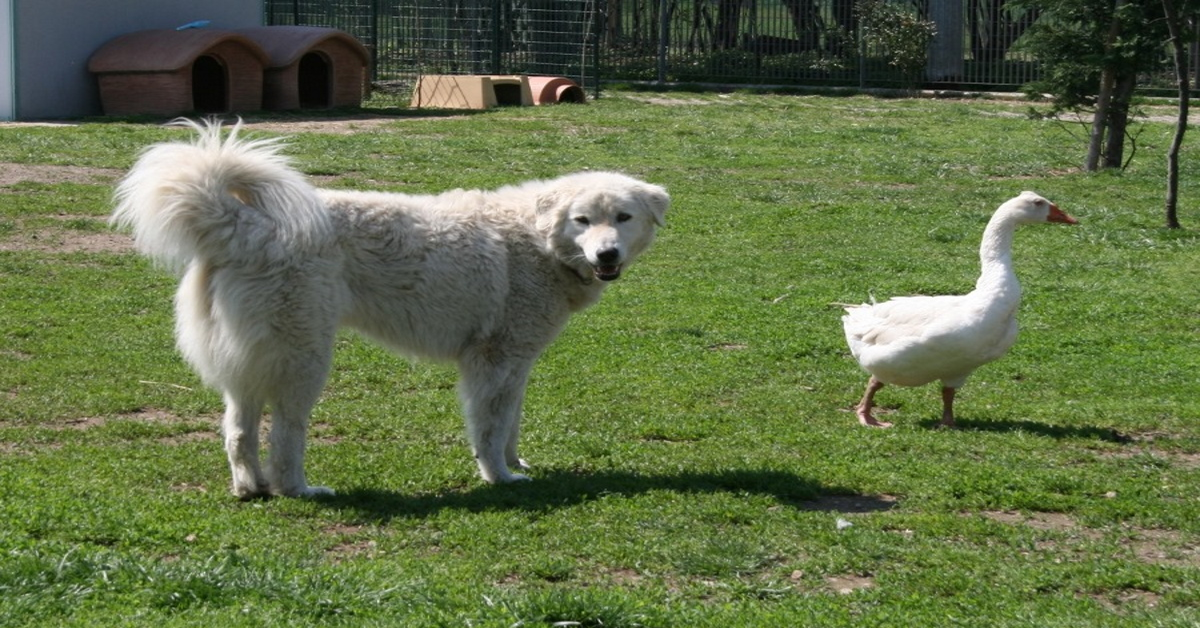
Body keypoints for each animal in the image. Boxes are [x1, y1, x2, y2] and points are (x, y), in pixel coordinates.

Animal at [111, 120, 672, 499]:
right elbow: (489, 428)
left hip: (248, 363)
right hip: (303, 359)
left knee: (238, 430)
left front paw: (518, 464)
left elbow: (511, 420)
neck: (537, 239)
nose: (607, 255)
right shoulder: (493, 362)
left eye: (622, 218)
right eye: (583, 220)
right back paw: (298, 489)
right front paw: (499, 477)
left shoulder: (517, 363)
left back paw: (251, 488)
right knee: (286, 434)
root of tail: (245, 224)